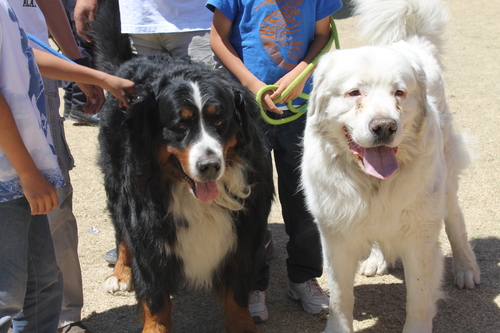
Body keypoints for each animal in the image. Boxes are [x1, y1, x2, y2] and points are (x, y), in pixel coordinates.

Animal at [90, 1, 274, 330]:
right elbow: (155, 299)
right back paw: (121, 274)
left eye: (220, 121)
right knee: (121, 231)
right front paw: (154, 326)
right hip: (116, 183)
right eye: (180, 125)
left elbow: (237, 295)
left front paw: (242, 325)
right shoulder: (148, 231)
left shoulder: (243, 236)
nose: (209, 165)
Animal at [300, 1, 480, 330]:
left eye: (399, 92)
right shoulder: (336, 236)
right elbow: (340, 298)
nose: (384, 126)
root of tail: (411, 42)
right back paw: (376, 259)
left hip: (446, 182)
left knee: (456, 222)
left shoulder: (420, 235)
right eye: (354, 93)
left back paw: (467, 269)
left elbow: (419, 297)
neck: (372, 183)